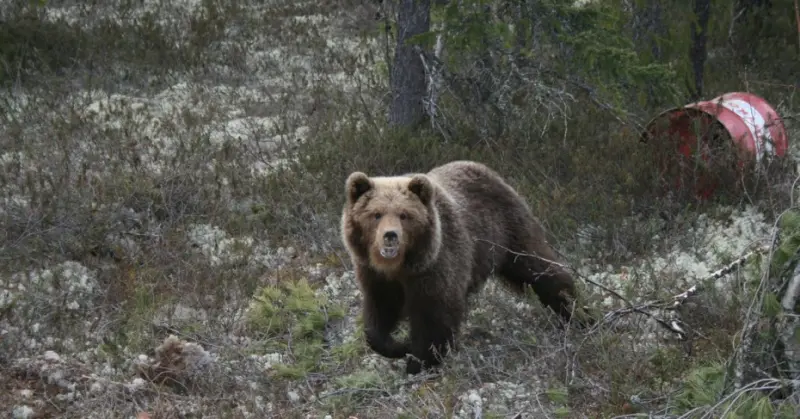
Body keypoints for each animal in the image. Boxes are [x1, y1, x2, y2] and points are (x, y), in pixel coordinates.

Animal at [340, 160, 589, 375]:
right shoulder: (376, 276)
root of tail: (487, 169)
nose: (390, 236)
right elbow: (379, 313)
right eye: (376, 214)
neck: (400, 267)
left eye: (404, 215)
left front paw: (420, 362)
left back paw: (577, 312)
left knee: (540, 269)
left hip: (509, 232)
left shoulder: (435, 267)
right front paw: (398, 346)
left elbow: (435, 315)